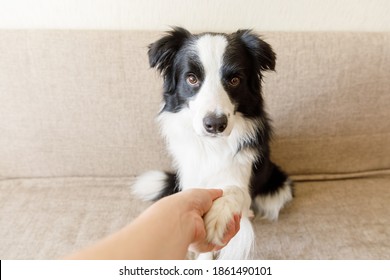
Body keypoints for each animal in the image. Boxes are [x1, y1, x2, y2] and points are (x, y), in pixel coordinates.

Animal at [132, 27, 292, 260]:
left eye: (235, 80)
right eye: (191, 78)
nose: (215, 124)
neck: (212, 146)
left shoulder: (242, 176)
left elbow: (233, 191)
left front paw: (217, 217)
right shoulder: (192, 178)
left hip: (277, 185)